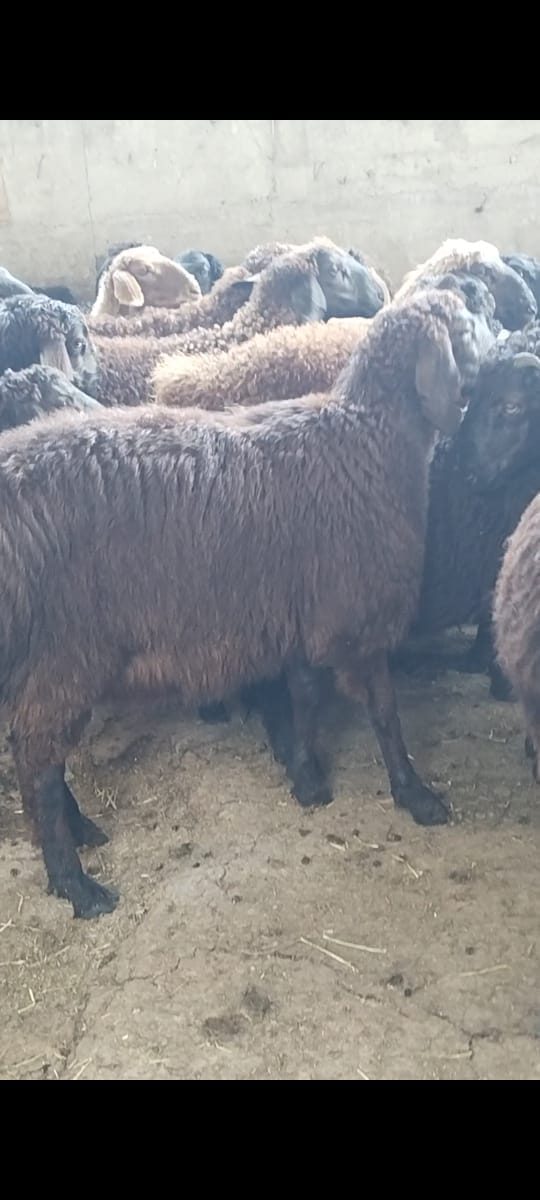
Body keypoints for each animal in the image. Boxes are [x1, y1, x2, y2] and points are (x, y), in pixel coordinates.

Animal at [0, 287, 483, 918]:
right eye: (465, 326)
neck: (367, 440)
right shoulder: (355, 609)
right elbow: (384, 711)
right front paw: (413, 792)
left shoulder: (302, 604)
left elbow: (304, 695)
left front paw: (308, 777)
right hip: (66, 652)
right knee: (36, 760)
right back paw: (76, 884)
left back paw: (78, 839)